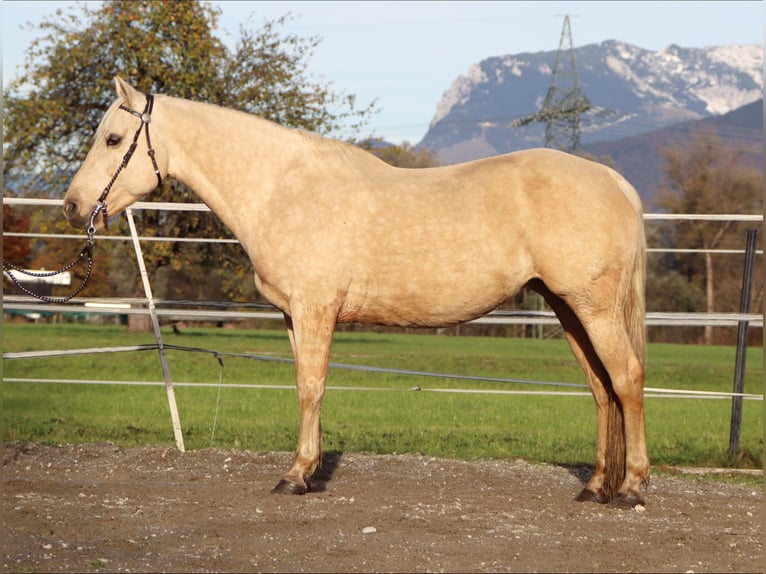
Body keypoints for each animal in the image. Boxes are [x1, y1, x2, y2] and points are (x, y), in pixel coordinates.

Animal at [63, 77, 649, 507]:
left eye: (113, 139)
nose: (72, 206)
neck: (282, 189)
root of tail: (615, 182)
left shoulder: (315, 309)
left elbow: (311, 388)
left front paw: (295, 475)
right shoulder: (294, 316)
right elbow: (307, 387)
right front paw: (310, 470)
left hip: (592, 308)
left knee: (625, 380)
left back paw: (632, 487)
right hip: (569, 309)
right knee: (601, 389)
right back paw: (594, 486)